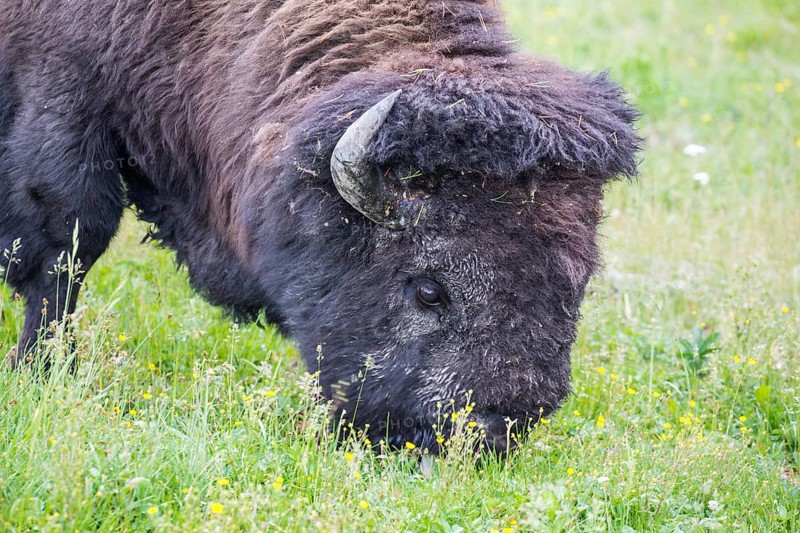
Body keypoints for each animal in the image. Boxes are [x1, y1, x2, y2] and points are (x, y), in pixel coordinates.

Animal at [0, 0, 641, 451]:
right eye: (428, 290)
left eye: (577, 287)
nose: (491, 432)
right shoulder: (66, 108)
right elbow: (67, 250)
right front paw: (42, 372)